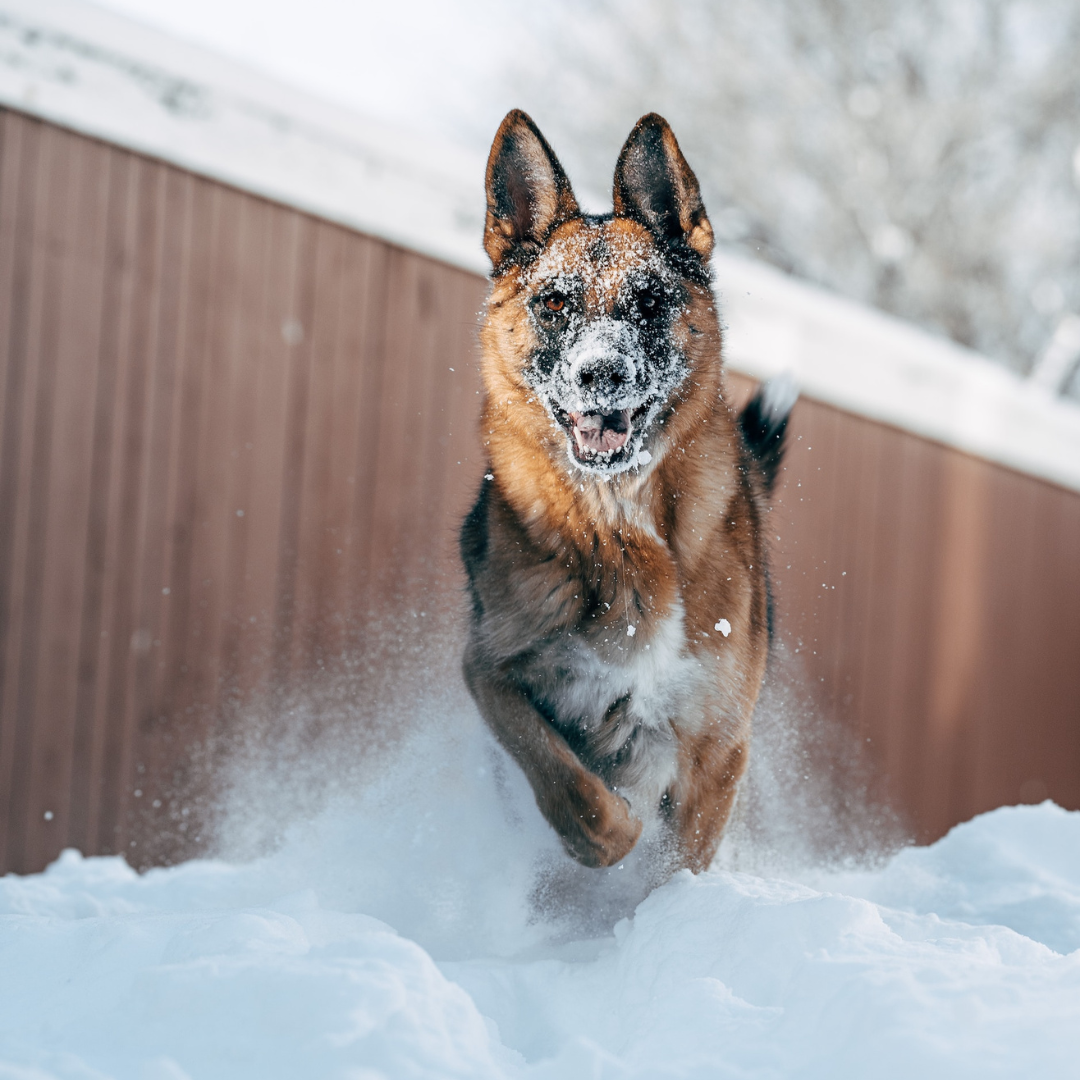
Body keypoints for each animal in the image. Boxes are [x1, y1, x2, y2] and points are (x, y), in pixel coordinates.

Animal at [460, 109, 790, 872]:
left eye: (651, 300)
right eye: (554, 302)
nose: (601, 374)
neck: (618, 521)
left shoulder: (717, 745)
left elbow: (677, 865)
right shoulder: (491, 670)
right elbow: (569, 787)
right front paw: (608, 839)